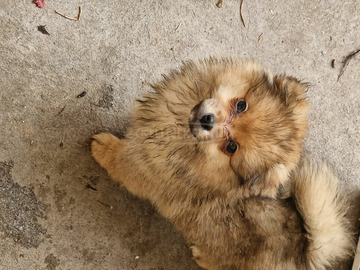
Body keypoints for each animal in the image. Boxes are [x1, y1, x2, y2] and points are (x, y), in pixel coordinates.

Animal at [90, 58, 352, 268]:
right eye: (241, 105)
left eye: (231, 147)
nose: (207, 120)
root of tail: (301, 253)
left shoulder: (145, 168)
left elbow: (121, 160)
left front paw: (104, 147)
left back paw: (202, 256)